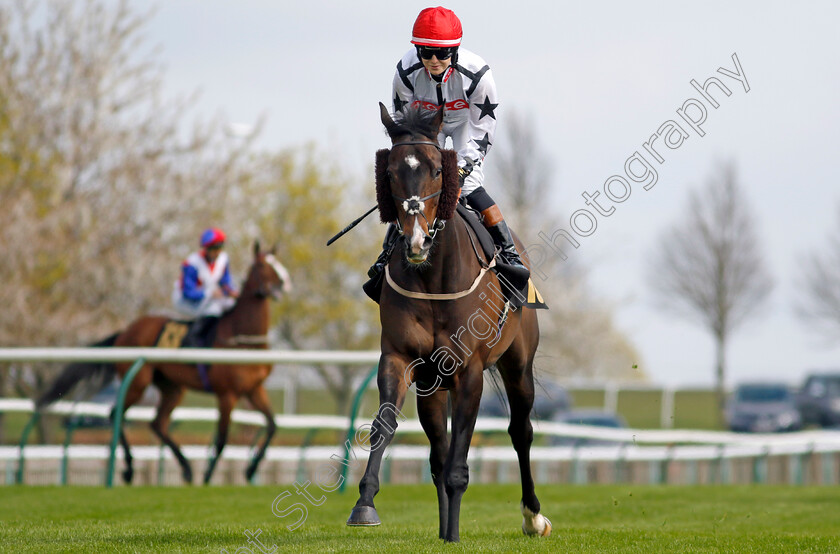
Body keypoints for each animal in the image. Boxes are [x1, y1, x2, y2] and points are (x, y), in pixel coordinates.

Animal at [37, 242, 290, 484]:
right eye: (262, 266)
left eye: (277, 262)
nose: (283, 284)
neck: (242, 337)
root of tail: (125, 331)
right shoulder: (226, 393)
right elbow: (222, 440)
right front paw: (208, 476)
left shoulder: (254, 389)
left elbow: (272, 425)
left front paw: (251, 469)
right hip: (138, 381)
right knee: (116, 413)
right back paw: (129, 469)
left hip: (172, 387)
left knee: (157, 423)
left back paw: (186, 468)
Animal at [346, 103, 552, 540]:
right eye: (391, 172)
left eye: (438, 169)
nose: (417, 240)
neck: (432, 279)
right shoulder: (401, 358)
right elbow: (385, 425)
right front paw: (365, 502)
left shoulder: (470, 369)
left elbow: (461, 458)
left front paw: (457, 533)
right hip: (432, 383)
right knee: (439, 451)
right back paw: (444, 528)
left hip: (518, 364)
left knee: (520, 431)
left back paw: (532, 517)